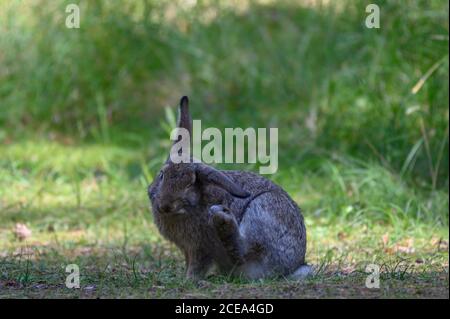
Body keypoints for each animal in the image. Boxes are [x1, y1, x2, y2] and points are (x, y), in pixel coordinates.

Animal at [148, 96, 310, 282]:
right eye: (162, 175)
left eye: (190, 183)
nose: (165, 205)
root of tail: (294, 266)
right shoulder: (188, 249)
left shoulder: (201, 246)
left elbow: (198, 265)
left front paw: (188, 280)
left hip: (264, 208)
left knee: (243, 251)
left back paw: (222, 218)